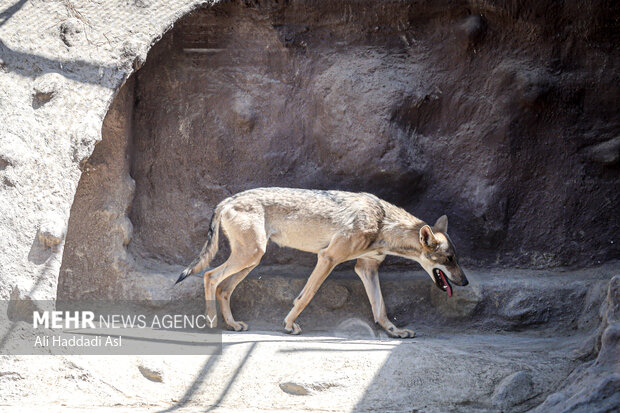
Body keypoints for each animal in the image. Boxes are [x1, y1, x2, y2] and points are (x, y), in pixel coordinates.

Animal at [177, 186, 468, 334]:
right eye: (449, 259)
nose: (465, 282)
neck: (382, 222)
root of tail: (227, 199)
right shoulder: (328, 258)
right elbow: (305, 297)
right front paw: (289, 324)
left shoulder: (366, 268)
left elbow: (380, 308)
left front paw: (393, 331)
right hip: (251, 255)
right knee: (209, 276)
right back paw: (212, 322)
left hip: (252, 260)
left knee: (223, 288)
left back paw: (232, 324)